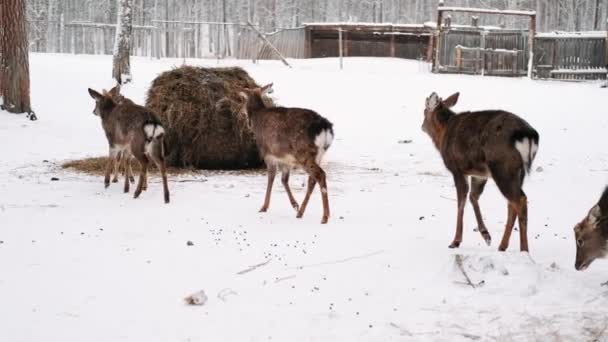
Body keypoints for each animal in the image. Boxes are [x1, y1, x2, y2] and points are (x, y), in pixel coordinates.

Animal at [239, 84, 334, 224]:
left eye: (243, 100)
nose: (241, 113)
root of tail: (325, 128)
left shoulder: (268, 154)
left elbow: (271, 178)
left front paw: (264, 207)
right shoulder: (286, 159)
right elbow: (284, 179)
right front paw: (295, 205)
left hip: (304, 153)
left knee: (320, 175)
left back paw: (325, 217)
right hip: (319, 155)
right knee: (312, 180)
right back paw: (300, 212)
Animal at [420, 92, 540, 252]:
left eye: (424, 110)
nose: (422, 126)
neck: (442, 134)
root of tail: (528, 135)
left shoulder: (456, 169)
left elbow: (461, 201)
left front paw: (455, 241)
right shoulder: (479, 174)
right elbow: (473, 197)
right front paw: (486, 235)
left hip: (502, 167)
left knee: (520, 200)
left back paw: (524, 249)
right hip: (518, 172)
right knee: (512, 203)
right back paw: (502, 246)